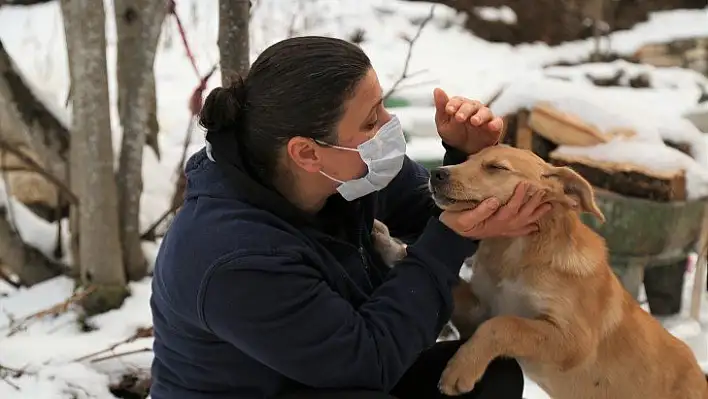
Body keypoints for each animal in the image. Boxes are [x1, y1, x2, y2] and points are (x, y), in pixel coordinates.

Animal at [374, 146, 704, 399]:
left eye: (495, 167)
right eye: (469, 159)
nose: (436, 174)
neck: (515, 255)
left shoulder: (574, 340)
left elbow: (503, 325)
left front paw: (460, 370)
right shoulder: (481, 311)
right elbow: (456, 291)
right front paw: (389, 245)